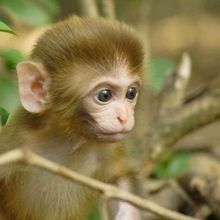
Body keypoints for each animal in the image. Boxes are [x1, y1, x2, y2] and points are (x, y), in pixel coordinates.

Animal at [0, 15, 144, 220]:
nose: (123, 117)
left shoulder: (109, 148)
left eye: (131, 93)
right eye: (105, 95)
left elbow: (120, 179)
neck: (68, 140)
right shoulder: (15, 143)